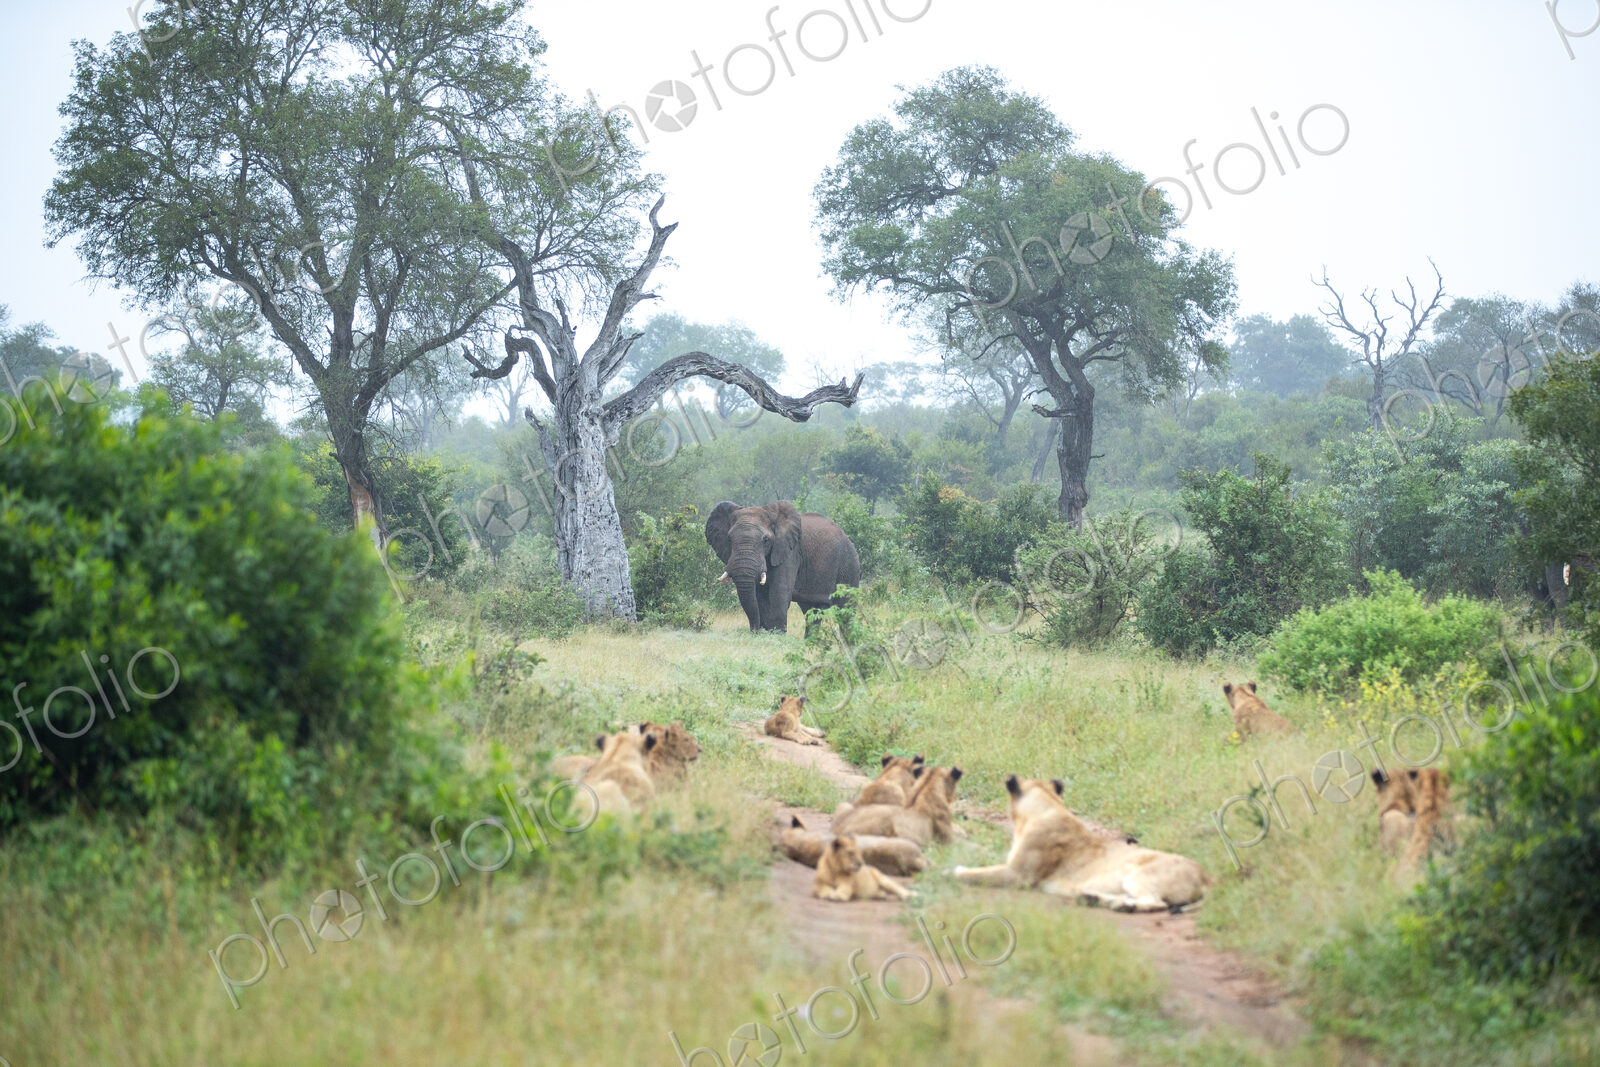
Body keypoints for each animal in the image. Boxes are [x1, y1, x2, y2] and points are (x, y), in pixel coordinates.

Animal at [705, 501, 862, 633]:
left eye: (766, 540)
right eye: (729, 539)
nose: (755, 630)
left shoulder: (790, 552)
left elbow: (779, 592)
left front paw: (777, 635)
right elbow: (759, 596)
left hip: (849, 566)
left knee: (845, 612)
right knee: (812, 611)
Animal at [953, 775, 1207, 912]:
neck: (1048, 807)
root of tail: (1206, 877)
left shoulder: (1018, 875)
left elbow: (977, 874)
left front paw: (951, 872)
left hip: (1139, 875)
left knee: (1156, 903)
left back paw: (1119, 906)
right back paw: (1093, 898)